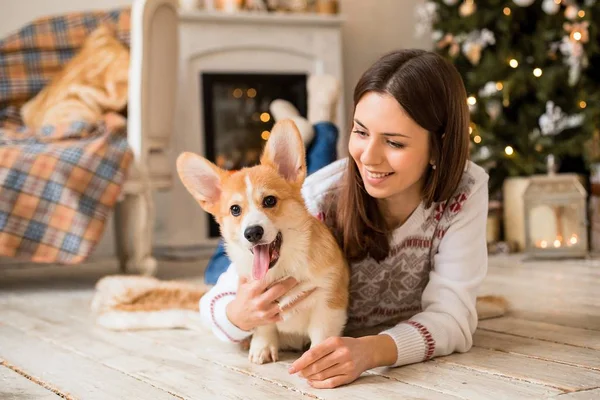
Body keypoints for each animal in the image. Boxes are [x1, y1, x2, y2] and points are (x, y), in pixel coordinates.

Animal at [176, 118, 350, 362]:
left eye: (269, 201)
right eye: (235, 209)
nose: (252, 233)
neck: (282, 269)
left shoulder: (329, 300)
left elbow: (322, 338)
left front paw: (319, 360)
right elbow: (263, 326)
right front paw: (263, 347)